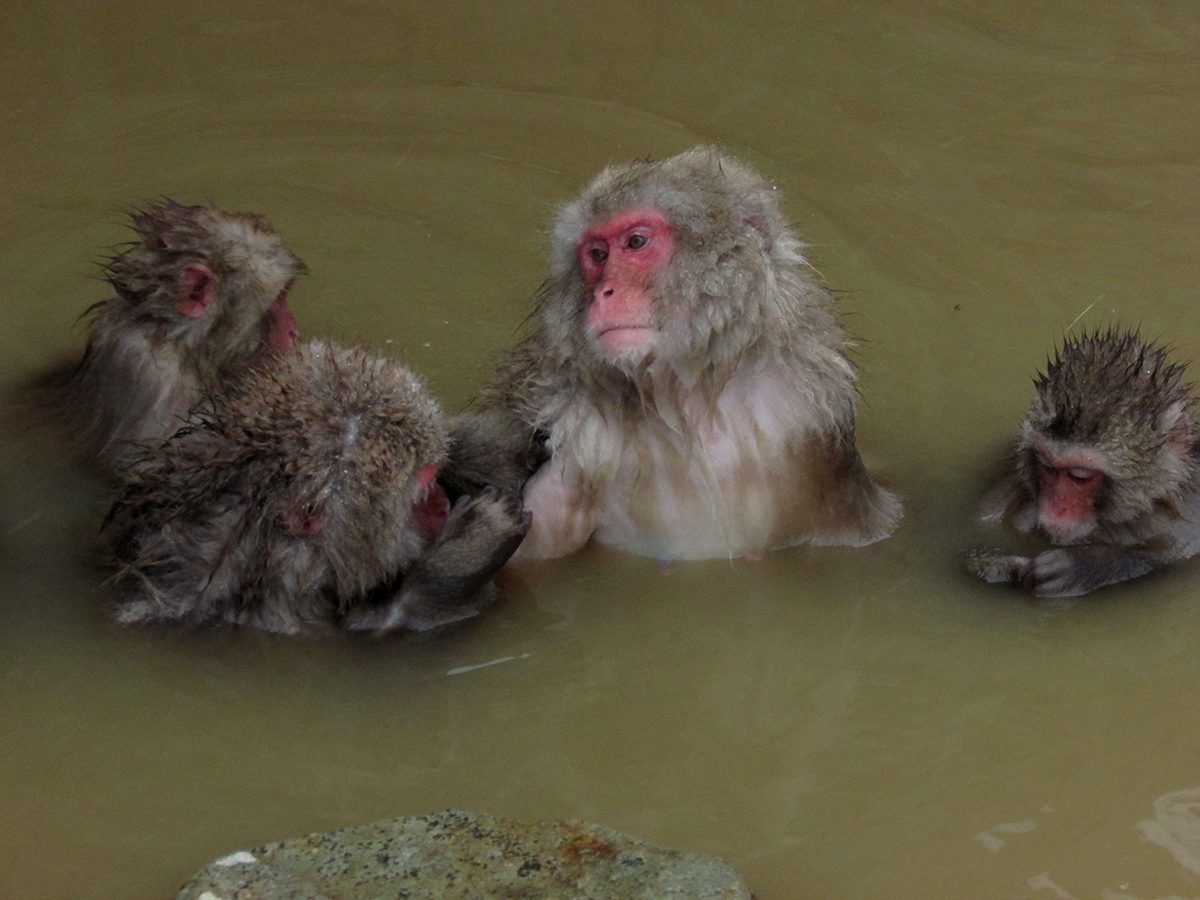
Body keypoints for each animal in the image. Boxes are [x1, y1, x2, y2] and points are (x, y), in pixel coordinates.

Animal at [103, 341, 530, 635]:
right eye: (422, 495)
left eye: (434, 473)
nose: (441, 503)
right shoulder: (279, 605)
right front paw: (469, 548)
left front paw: (484, 449)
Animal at [453, 146, 901, 562]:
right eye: (597, 255)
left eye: (636, 242)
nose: (603, 293)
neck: (686, 398)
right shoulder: (573, 448)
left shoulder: (810, 423)